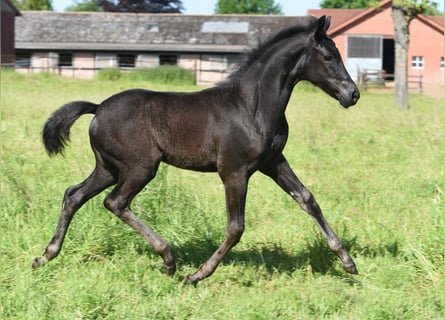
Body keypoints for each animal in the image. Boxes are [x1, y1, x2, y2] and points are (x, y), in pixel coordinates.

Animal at [33, 16, 360, 284]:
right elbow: (236, 227)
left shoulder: (273, 162)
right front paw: (198, 275)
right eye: (329, 56)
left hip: (108, 168)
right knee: (115, 202)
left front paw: (347, 261)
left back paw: (46, 255)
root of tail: (98, 107)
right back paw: (168, 259)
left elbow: (307, 199)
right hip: (140, 167)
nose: (353, 94)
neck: (252, 107)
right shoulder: (234, 172)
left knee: (74, 195)